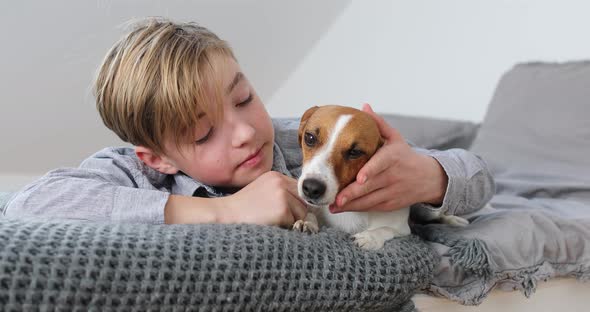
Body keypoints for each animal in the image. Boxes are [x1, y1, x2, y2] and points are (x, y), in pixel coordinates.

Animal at [294, 106, 470, 250]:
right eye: (310, 138)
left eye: (355, 152)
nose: (312, 188)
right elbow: (310, 214)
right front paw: (307, 222)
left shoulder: (403, 229)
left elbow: (385, 229)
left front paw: (370, 237)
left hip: (426, 210)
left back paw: (453, 220)